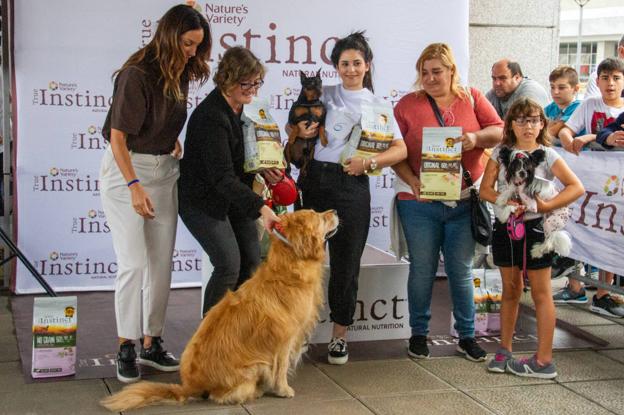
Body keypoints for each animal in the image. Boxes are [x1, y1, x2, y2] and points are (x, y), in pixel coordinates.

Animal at [100, 210, 338, 412]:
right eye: (318, 216)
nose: (334, 211)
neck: (287, 272)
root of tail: (190, 385)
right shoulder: (284, 340)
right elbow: (281, 368)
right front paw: (284, 390)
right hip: (255, 366)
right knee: (221, 396)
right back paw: (255, 391)